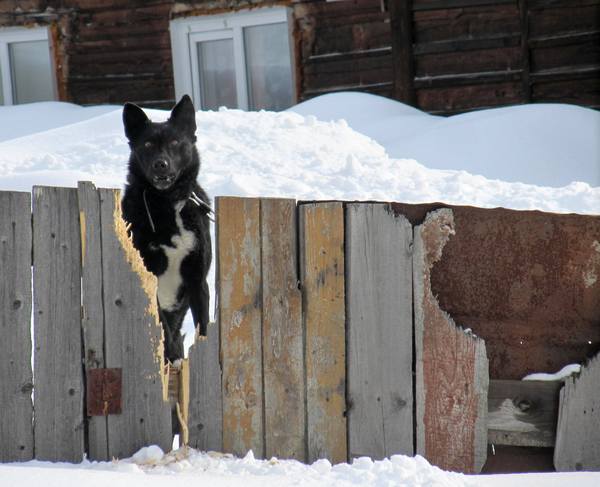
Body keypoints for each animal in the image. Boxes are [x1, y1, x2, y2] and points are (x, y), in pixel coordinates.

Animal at [120, 95, 212, 364]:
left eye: (175, 142)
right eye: (148, 144)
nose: (161, 164)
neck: (168, 203)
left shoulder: (197, 279)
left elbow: (203, 327)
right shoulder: (149, 275)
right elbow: (164, 328)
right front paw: (173, 355)